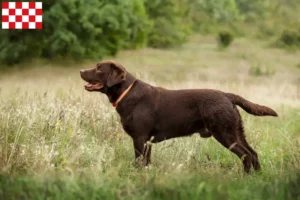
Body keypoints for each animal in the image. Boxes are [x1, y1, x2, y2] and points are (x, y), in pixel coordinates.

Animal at [79, 59, 276, 172]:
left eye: (98, 69)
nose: (80, 71)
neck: (127, 93)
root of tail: (227, 95)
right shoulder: (147, 141)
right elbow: (147, 162)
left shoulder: (140, 138)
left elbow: (139, 161)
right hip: (236, 131)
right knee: (253, 153)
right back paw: (258, 177)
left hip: (225, 133)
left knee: (246, 155)